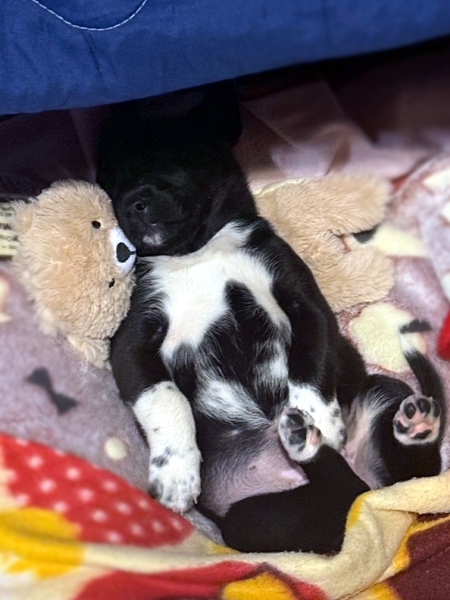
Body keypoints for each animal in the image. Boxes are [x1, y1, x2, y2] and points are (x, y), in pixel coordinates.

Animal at [96, 85, 446, 554]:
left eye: (173, 159)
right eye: (110, 184)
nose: (133, 203)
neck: (197, 251)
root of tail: (368, 494)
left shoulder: (305, 305)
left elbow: (310, 368)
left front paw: (318, 415)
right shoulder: (131, 341)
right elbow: (163, 397)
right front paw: (176, 470)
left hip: (380, 392)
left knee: (407, 473)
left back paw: (404, 428)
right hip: (257, 522)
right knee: (343, 491)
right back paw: (307, 446)